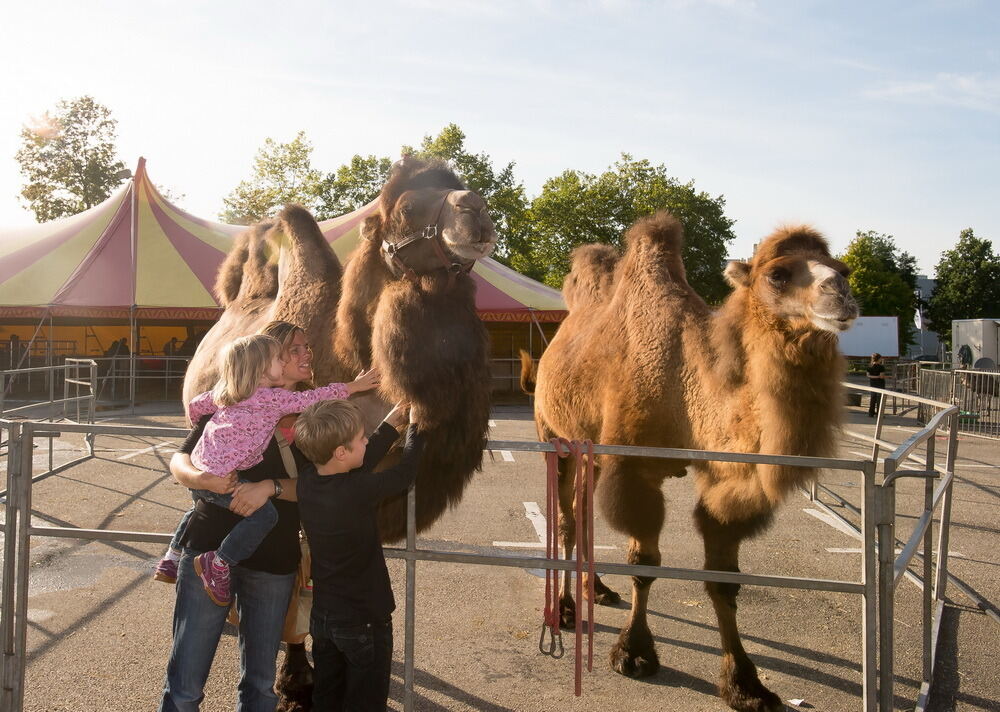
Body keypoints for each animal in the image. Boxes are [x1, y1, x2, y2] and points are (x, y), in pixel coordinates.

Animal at [182, 154, 498, 708]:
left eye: (459, 186)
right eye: (407, 207)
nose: (476, 211)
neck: (350, 351)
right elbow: (297, 587)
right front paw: (295, 681)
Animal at [524, 213, 860, 712]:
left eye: (843, 268)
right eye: (778, 274)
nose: (841, 293)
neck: (686, 384)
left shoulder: (721, 474)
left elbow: (724, 579)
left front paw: (745, 683)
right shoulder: (635, 470)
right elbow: (644, 561)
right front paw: (634, 652)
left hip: (592, 451)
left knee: (582, 513)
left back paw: (597, 589)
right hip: (555, 437)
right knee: (565, 517)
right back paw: (564, 610)